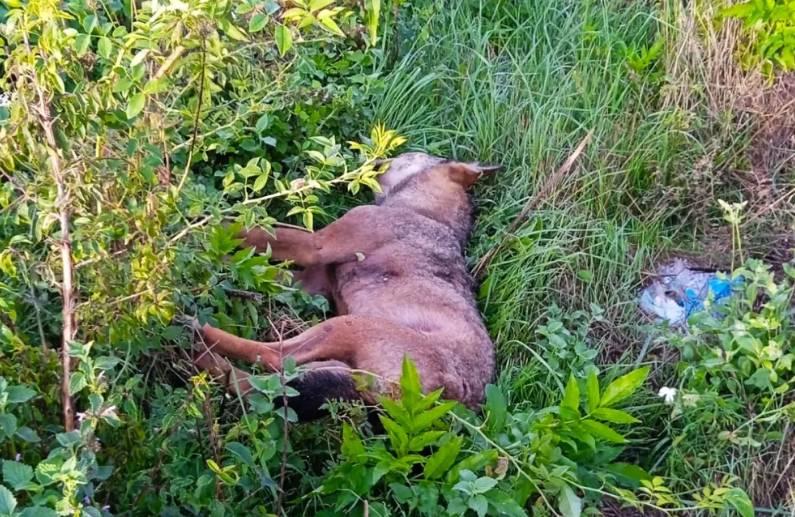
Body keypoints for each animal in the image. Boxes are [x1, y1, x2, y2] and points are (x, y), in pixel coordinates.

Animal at [189, 152, 499, 419]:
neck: (426, 212)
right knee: (252, 386)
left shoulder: (315, 245)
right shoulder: (307, 282)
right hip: (337, 368)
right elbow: (253, 265)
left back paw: (198, 331)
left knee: (273, 355)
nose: (375, 159)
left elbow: (251, 231)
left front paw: (201, 227)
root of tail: (454, 398)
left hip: (349, 327)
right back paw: (199, 356)